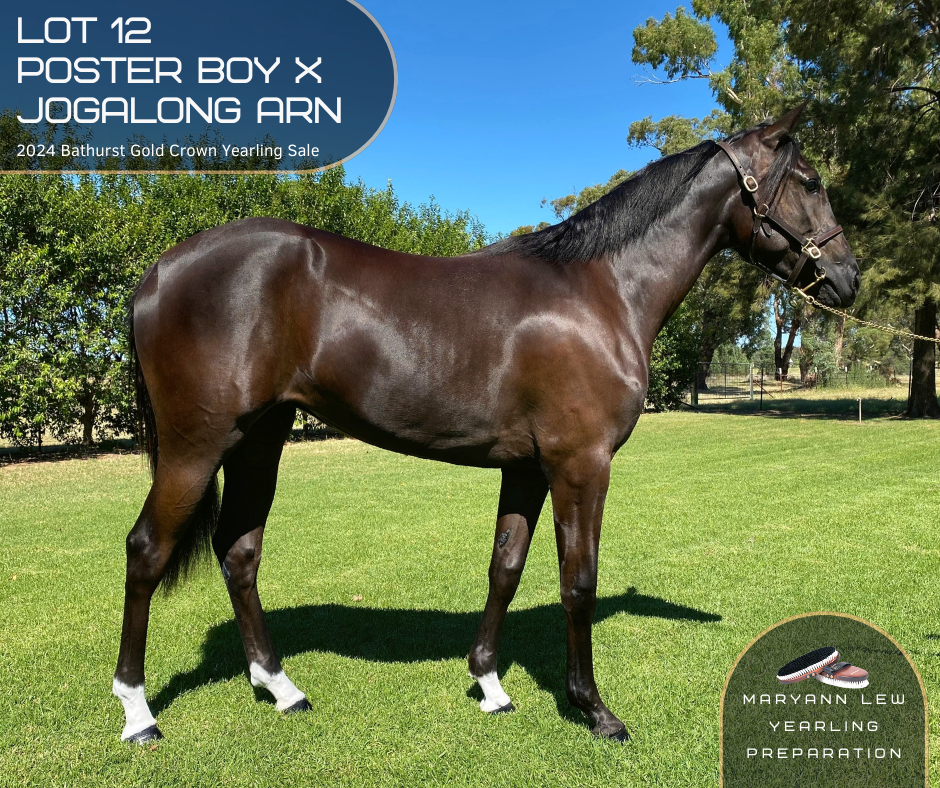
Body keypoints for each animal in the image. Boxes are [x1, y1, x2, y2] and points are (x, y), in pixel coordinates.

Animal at [114, 105, 860, 743]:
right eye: (811, 182)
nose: (849, 278)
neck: (602, 290)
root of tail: (157, 273)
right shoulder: (580, 464)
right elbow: (578, 581)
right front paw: (593, 709)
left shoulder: (526, 467)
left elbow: (505, 566)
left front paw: (491, 685)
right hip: (195, 446)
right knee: (146, 550)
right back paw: (138, 712)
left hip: (258, 440)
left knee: (239, 552)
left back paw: (281, 687)